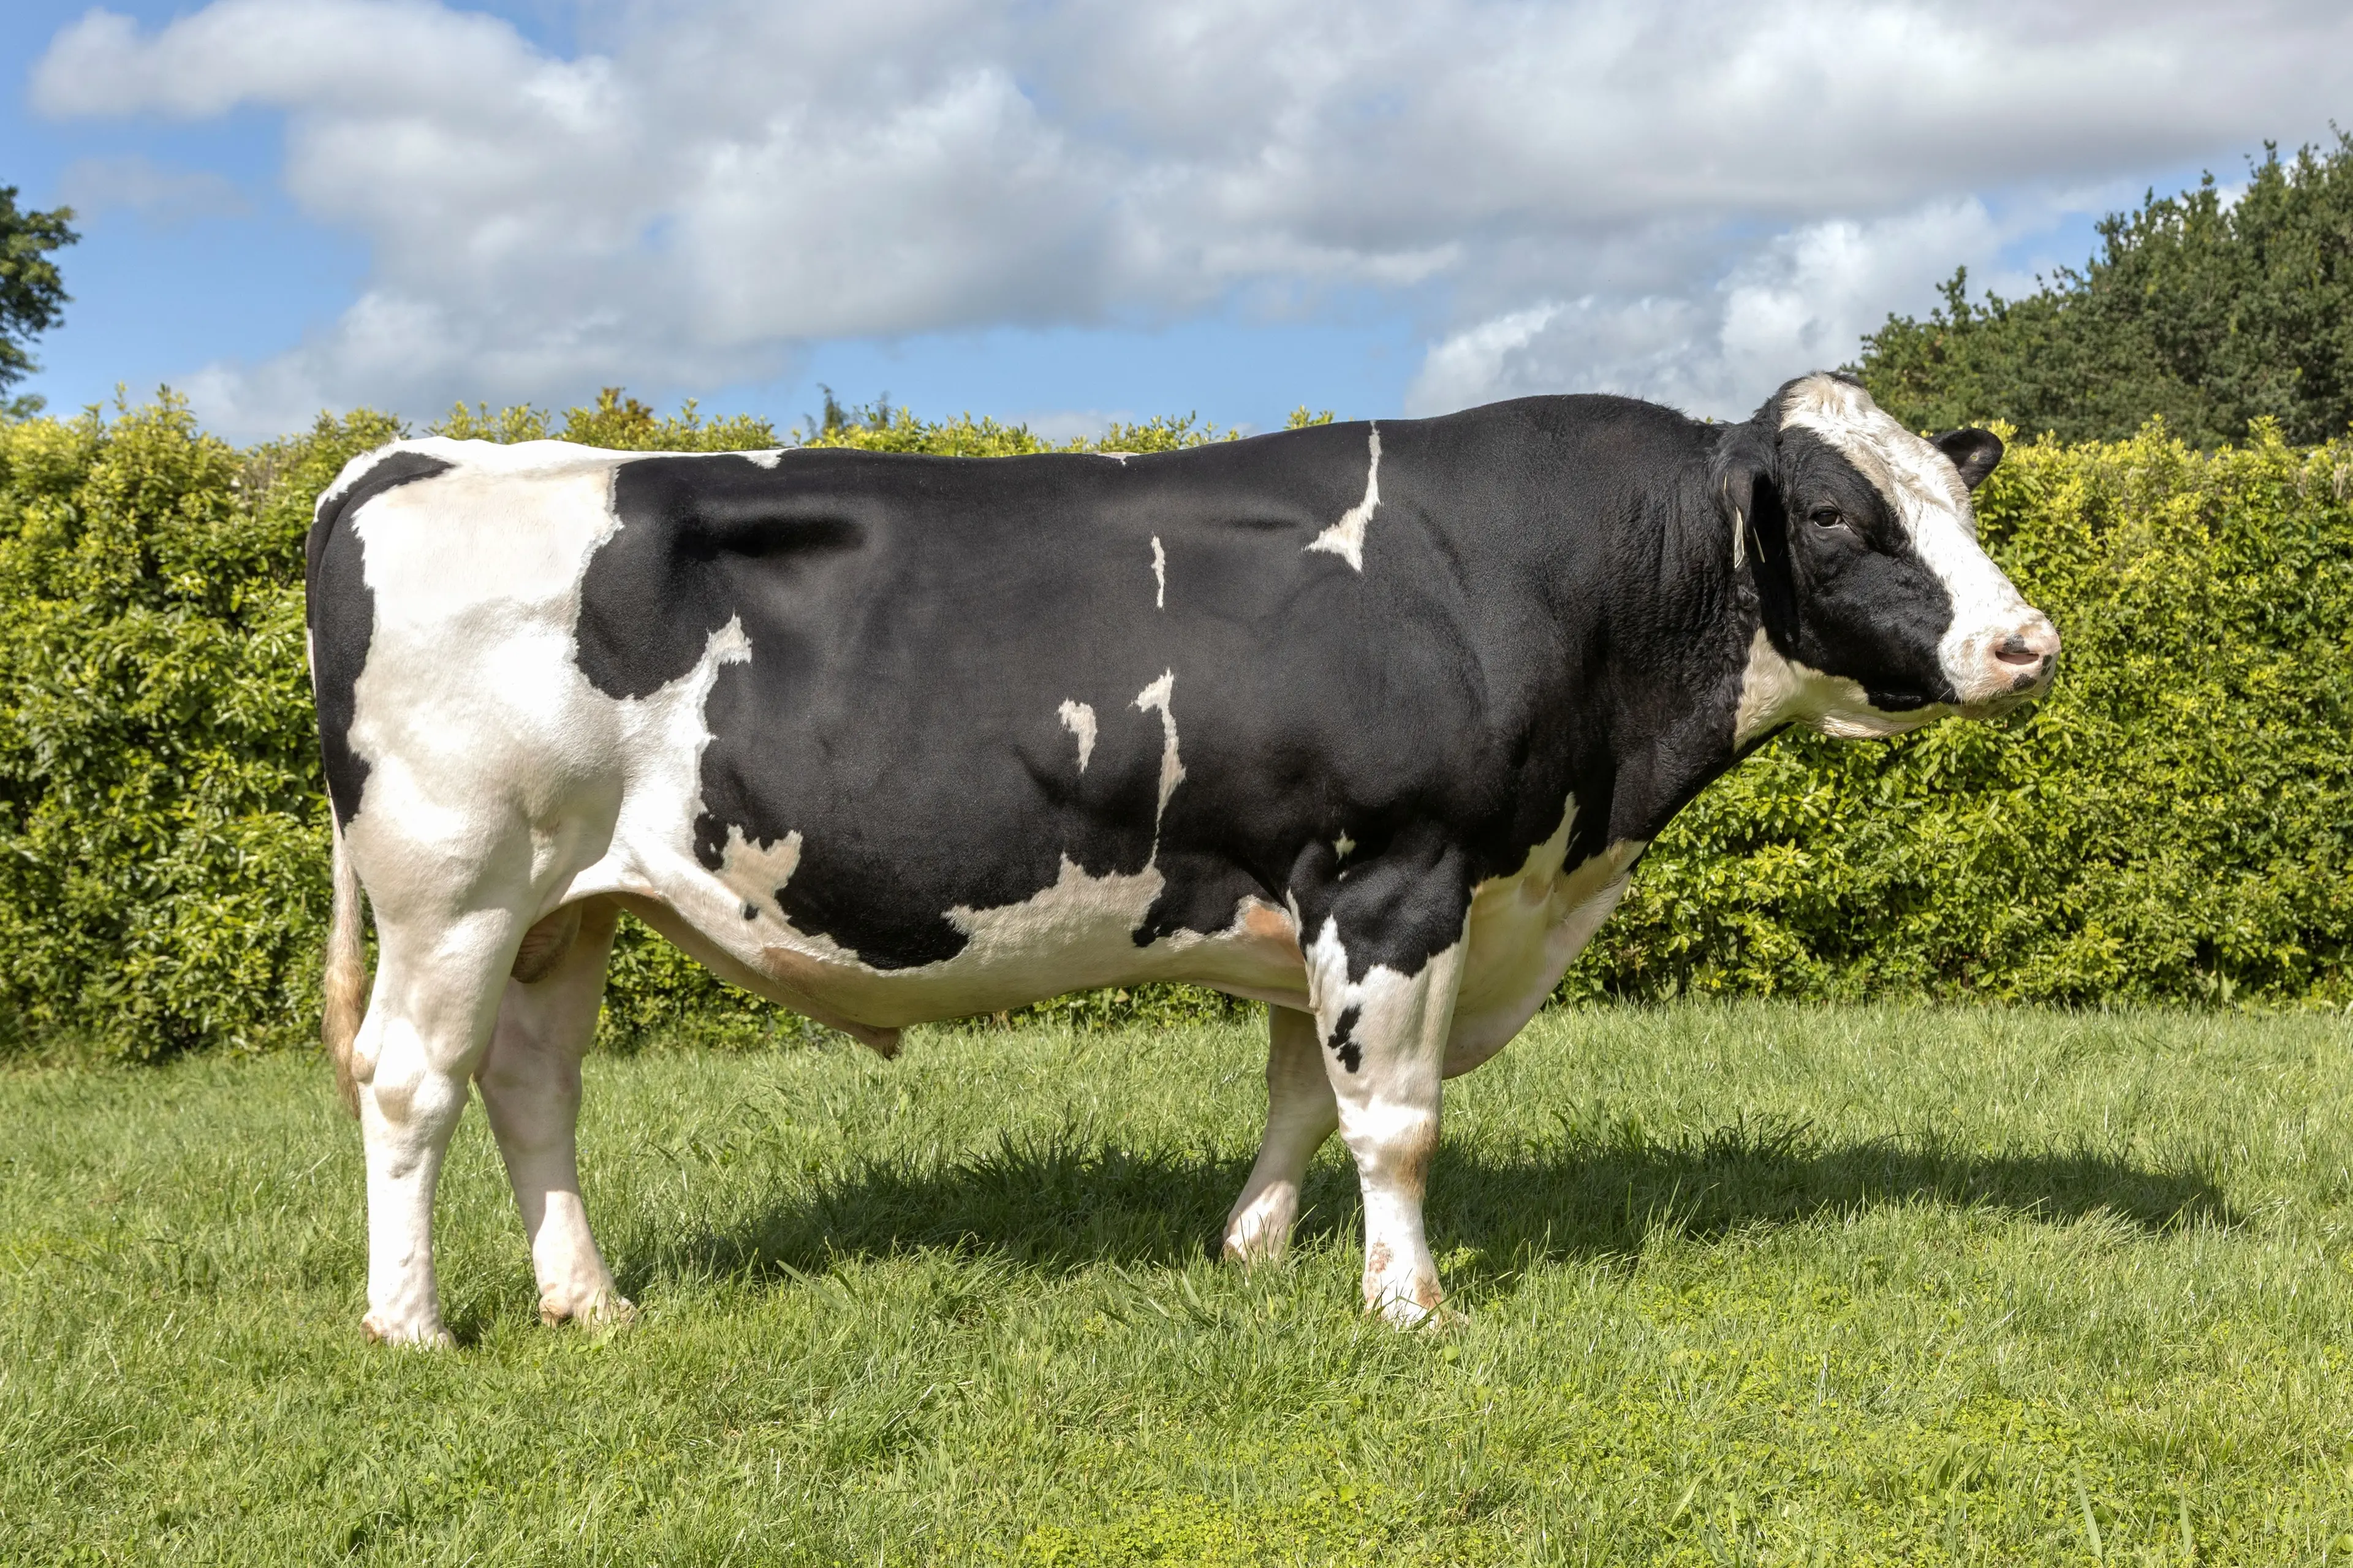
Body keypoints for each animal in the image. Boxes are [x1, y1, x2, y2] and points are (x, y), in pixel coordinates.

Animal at [306, 372, 2058, 1346]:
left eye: (1960, 499)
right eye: (1835, 520)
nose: (2025, 642)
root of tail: (412, 459)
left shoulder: (1316, 889)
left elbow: (1302, 1094)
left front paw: (1254, 1252)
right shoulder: (1397, 874)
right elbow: (1396, 1122)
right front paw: (1409, 1305)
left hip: (570, 902)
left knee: (531, 1083)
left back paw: (587, 1298)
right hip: (455, 881)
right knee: (410, 1083)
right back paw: (411, 1324)